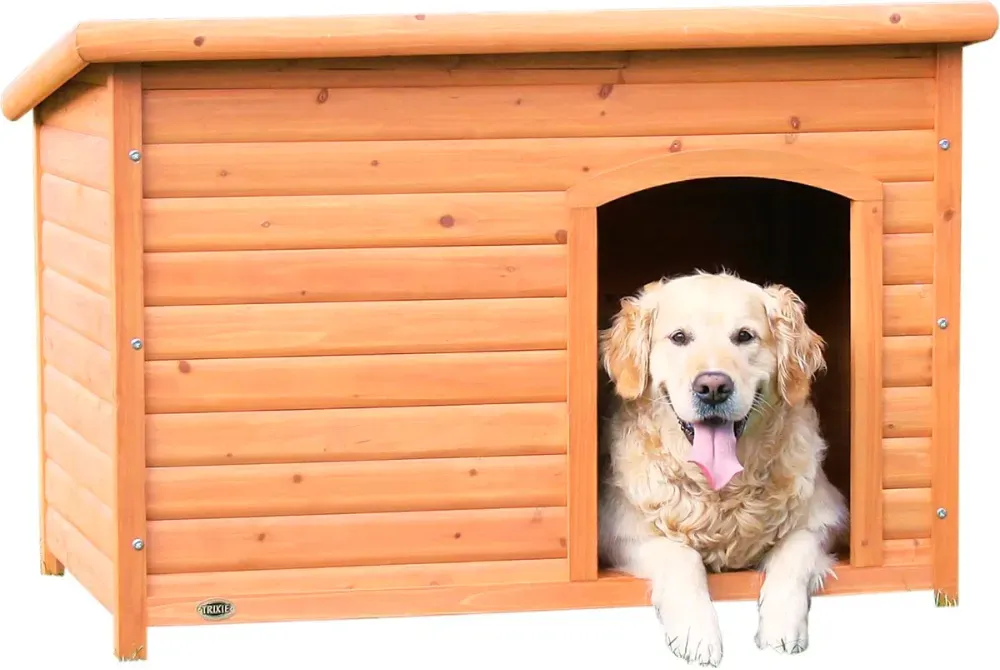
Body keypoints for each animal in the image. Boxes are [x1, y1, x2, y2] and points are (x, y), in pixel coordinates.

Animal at [596, 272, 848, 668]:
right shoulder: (618, 531)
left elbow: (795, 549)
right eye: (679, 337)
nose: (713, 386)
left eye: (744, 336)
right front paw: (697, 633)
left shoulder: (829, 516)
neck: (720, 491)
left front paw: (781, 625)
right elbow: (679, 555)